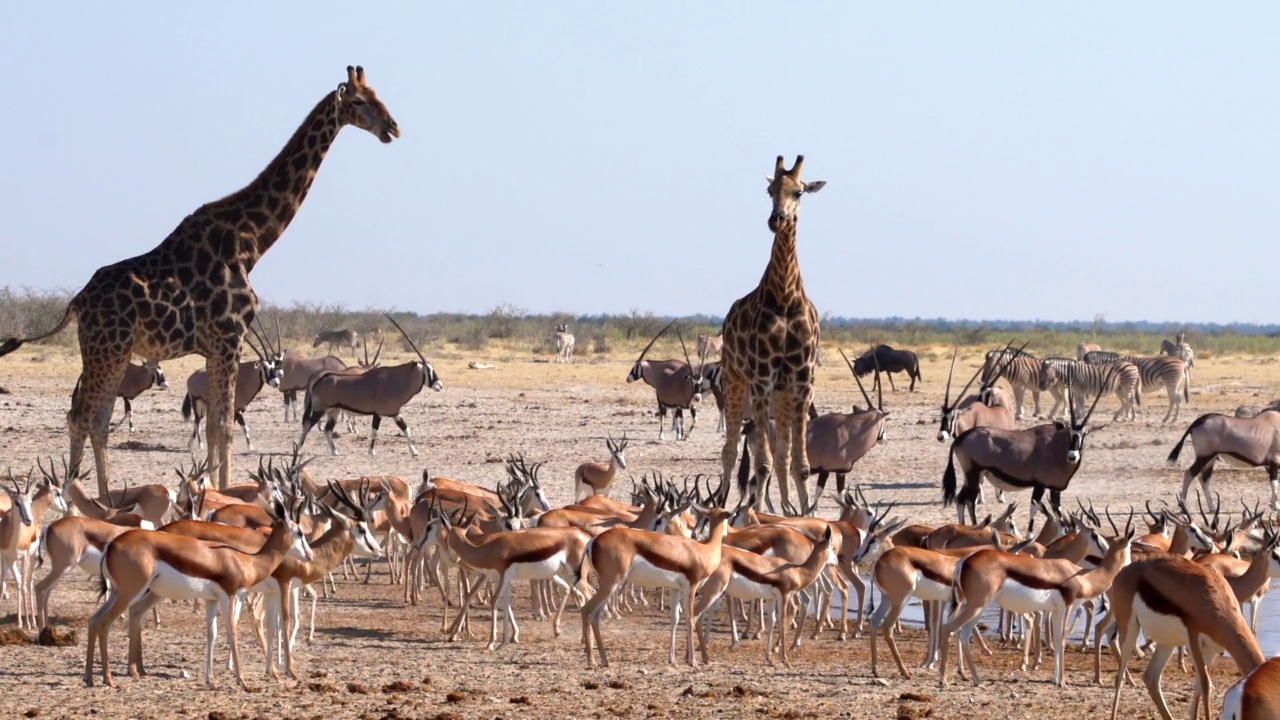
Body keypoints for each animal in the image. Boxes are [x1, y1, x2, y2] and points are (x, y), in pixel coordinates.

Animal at [0, 65, 399, 491]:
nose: (392, 127)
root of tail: (76, 302)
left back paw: (102, 496)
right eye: (359, 101)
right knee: (82, 415)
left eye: (378, 95)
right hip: (106, 348)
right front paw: (224, 493)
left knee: (97, 418)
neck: (250, 243)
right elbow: (223, 425)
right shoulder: (229, 339)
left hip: (112, 351)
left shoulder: (214, 347)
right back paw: (76, 494)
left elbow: (212, 428)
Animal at [721, 152, 829, 509]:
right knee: (730, 452)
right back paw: (721, 502)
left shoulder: (802, 379)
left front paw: (803, 513)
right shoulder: (761, 378)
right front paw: (754, 514)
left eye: (799, 192)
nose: (777, 220)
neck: (784, 298)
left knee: (782, 456)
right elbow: (762, 462)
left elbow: (799, 464)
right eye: (770, 191)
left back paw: (785, 508)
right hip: (734, 380)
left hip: (782, 392)